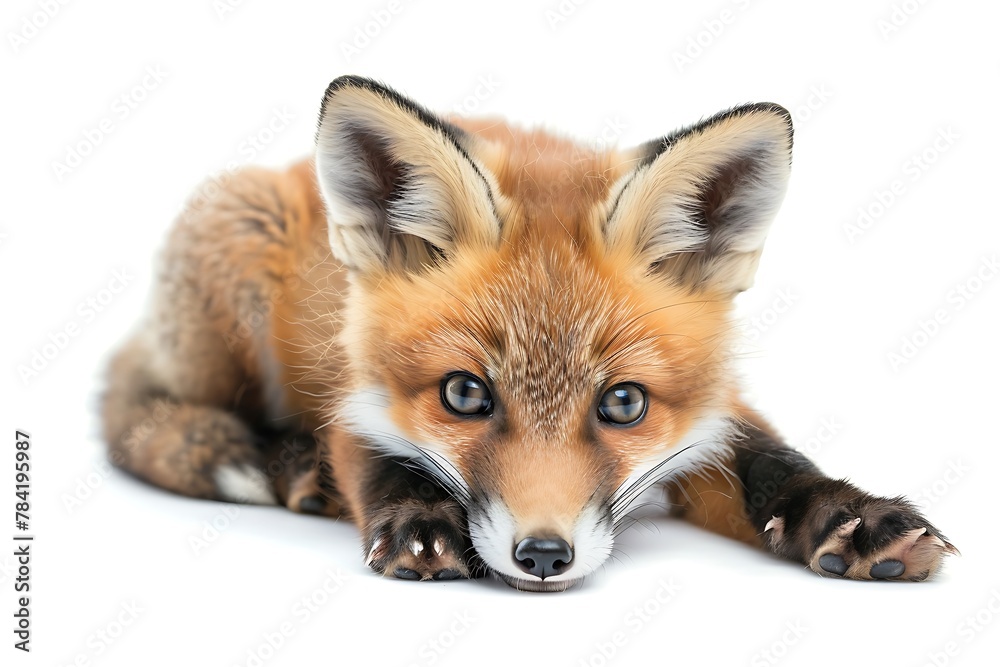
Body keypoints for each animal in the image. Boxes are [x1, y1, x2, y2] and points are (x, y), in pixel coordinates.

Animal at [102, 75, 957, 591]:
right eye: (463, 393)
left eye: (623, 404)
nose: (544, 555)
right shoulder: (356, 388)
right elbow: (380, 459)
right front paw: (422, 522)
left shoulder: (706, 407)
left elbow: (767, 456)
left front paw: (849, 514)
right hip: (239, 264)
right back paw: (283, 464)